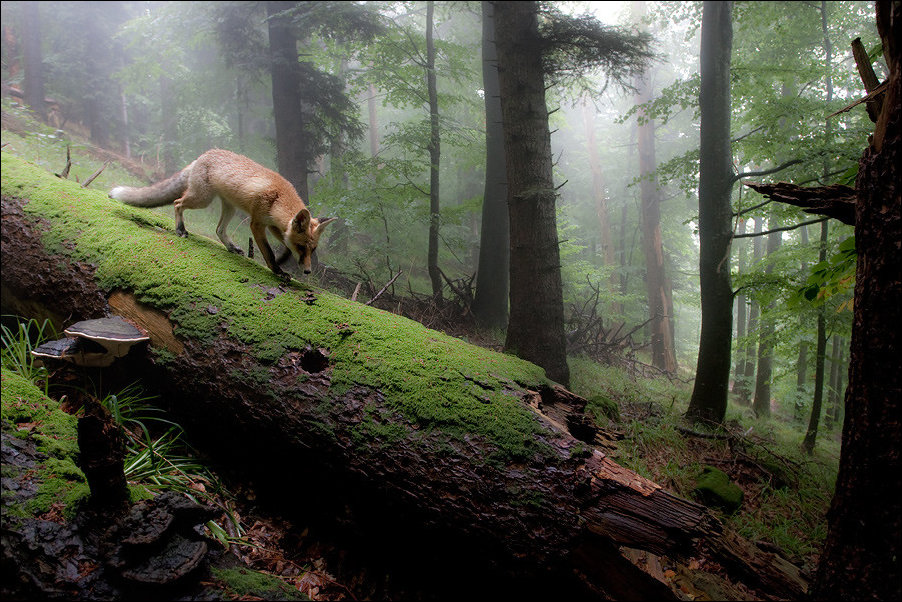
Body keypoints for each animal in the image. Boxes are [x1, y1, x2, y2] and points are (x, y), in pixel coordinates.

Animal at [109, 149, 335, 278]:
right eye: (302, 247)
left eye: (313, 249)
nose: (307, 271)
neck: (277, 198)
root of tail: (202, 155)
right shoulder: (257, 223)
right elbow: (268, 252)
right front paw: (277, 270)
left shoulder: (273, 225)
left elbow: (285, 247)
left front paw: (282, 262)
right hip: (202, 199)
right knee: (177, 203)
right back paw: (180, 229)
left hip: (229, 208)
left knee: (218, 230)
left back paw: (231, 247)